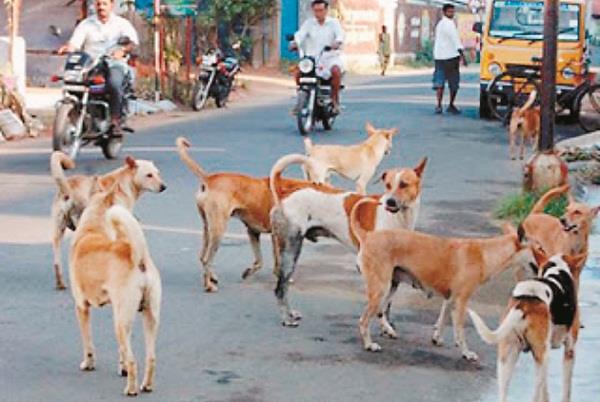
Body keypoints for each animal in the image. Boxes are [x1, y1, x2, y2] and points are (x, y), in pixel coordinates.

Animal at [49, 152, 165, 290]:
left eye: (158, 173)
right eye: (149, 175)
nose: (164, 187)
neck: (124, 181)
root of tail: (68, 188)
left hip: (58, 231)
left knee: (57, 261)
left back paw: (60, 282)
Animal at [69, 185, 162, 396]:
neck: (93, 227)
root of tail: (139, 257)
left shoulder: (81, 308)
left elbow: (88, 342)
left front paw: (88, 363)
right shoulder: (118, 311)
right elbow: (122, 350)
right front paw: (122, 368)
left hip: (120, 322)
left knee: (134, 360)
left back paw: (131, 389)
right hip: (148, 318)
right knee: (151, 357)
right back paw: (146, 385)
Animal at [350, 199, 532, 360]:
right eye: (537, 249)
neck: (485, 254)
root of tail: (367, 236)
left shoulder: (450, 300)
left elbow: (443, 319)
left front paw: (437, 338)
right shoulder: (461, 302)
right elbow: (460, 331)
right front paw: (466, 353)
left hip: (391, 286)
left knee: (380, 312)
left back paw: (387, 330)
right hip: (381, 289)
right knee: (363, 320)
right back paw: (369, 344)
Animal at [468, 251, 584, 402]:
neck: (557, 270)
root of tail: (523, 304)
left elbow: (545, 391)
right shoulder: (569, 350)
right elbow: (566, 390)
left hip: (507, 359)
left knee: (504, 394)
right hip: (543, 357)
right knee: (535, 394)